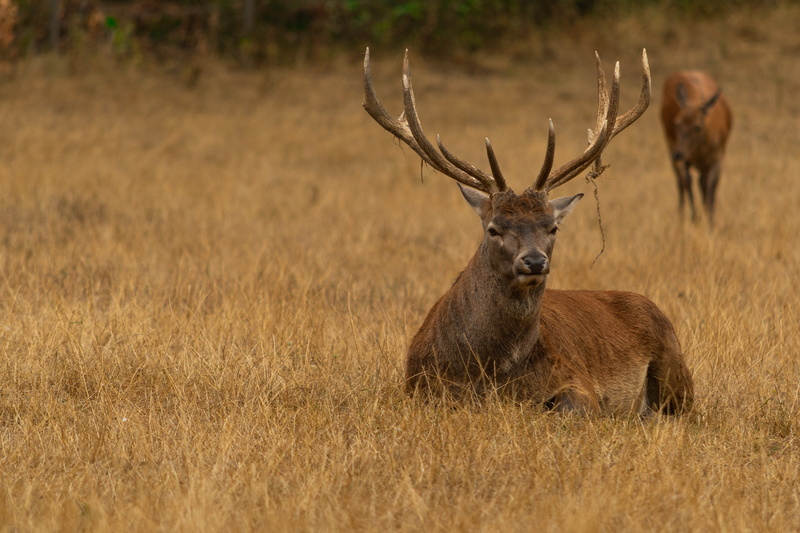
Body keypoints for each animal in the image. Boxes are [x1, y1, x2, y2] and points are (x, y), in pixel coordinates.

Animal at [362, 48, 694, 416]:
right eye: (494, 229)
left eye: (552, 227)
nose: (534, 261)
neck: (488, 376)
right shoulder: (419, 388)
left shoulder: (578, 380)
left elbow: (568, 409)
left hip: (675, 363)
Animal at [660, 71, 733, 227]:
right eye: (677, 123)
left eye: (697, 127)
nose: (678, 154)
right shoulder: (679, 152)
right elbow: (687, 181)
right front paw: (693, 218)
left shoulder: (717, 157)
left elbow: (711, 187)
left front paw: (711, 224)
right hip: (670, 144)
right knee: (681, 182)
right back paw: (681, 215)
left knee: (702, 183)